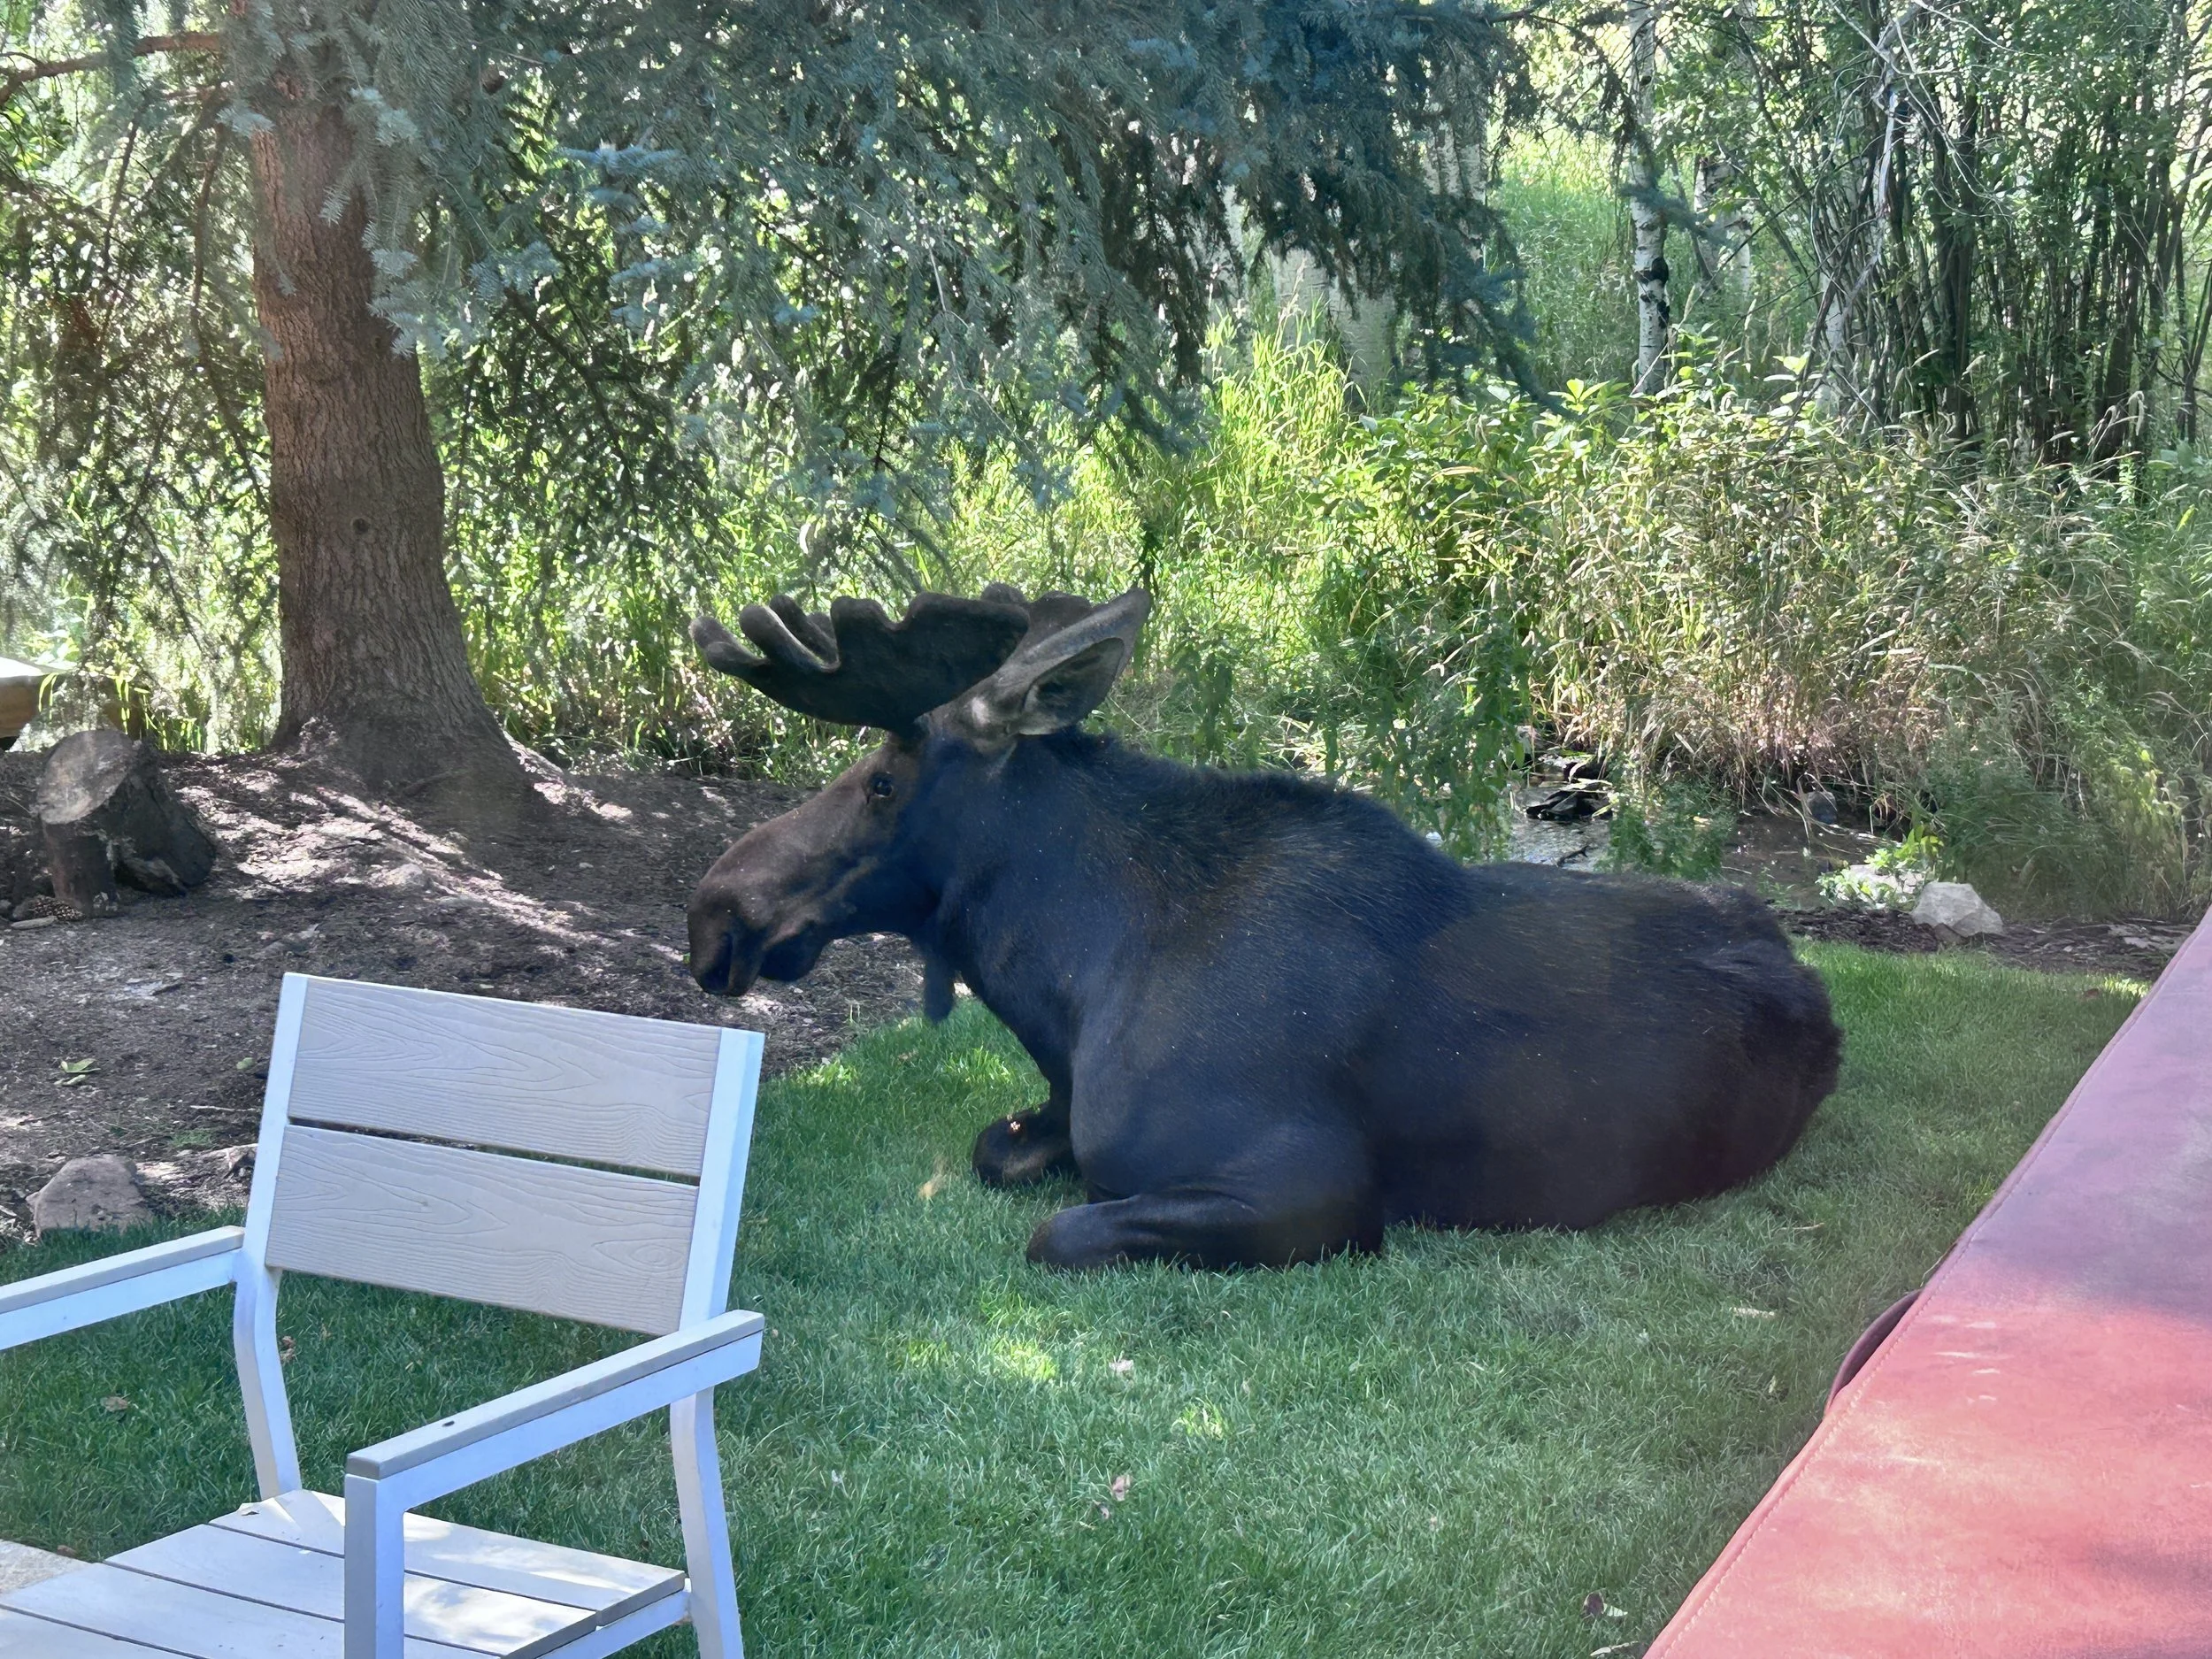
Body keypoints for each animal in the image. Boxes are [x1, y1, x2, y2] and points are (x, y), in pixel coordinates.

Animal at [685, 585, 1843, 1269]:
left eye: (882, 782)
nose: (713, 911)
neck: (1068, 987)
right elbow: (995, 1149)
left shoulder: (1310, 1193)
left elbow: (1056, 1230)